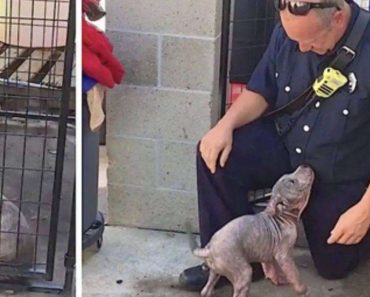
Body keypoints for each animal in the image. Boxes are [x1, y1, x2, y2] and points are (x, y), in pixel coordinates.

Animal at [191, 164, 316, 296]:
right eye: (292, 182)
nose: (304, 165)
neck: (282, 215)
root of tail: (209, 250)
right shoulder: (284, 255)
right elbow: (293, 273)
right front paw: (302, 289)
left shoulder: (271, 253)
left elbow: (272, 266)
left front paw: (277, 278)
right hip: (243, 272)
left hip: (215, 271)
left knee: (206, 289)